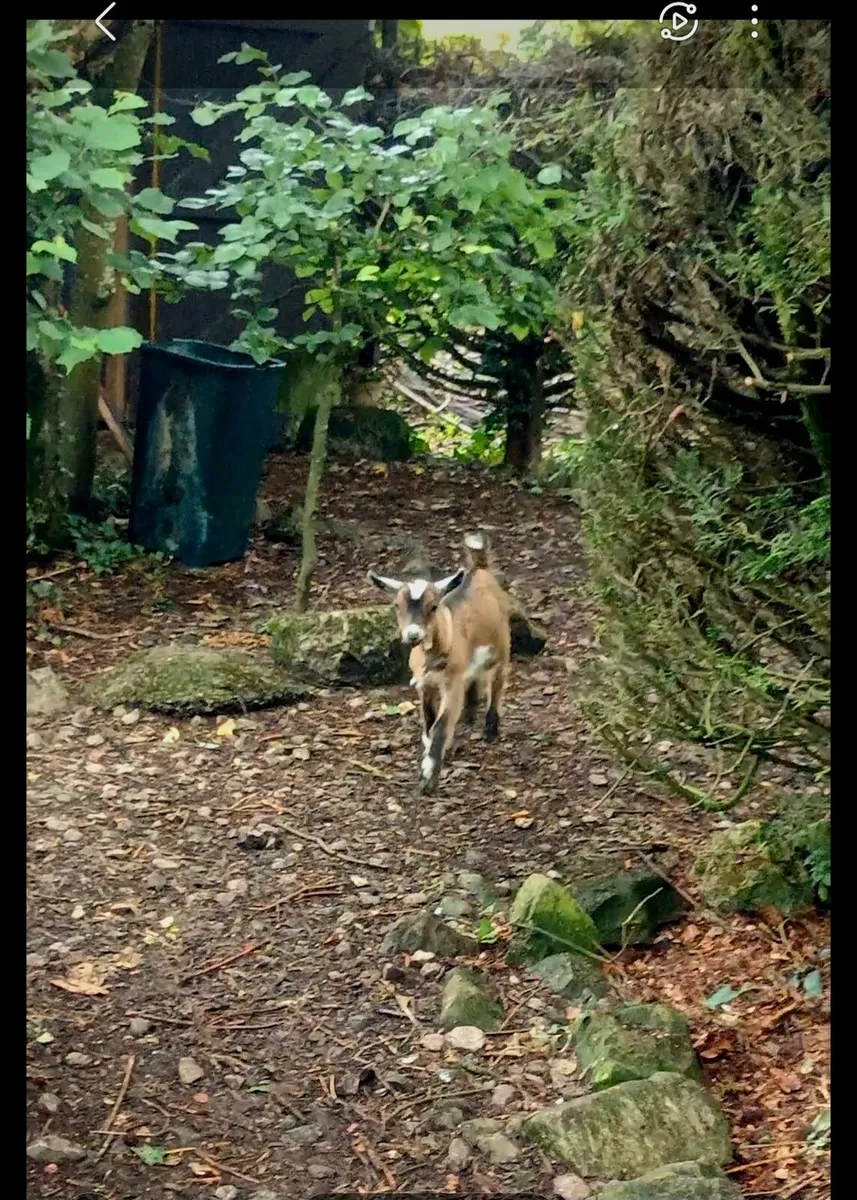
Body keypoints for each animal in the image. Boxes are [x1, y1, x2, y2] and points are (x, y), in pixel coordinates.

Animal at [367, 531, 511, 794]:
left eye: (433, 607)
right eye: (397, 606)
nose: (413, 635)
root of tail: (480, 567)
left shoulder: (450, 683)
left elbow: (441, 726)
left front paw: (428, 779)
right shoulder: (425, 684)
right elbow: (428, 722)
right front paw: (427, 759)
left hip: (502, 645)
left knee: (497, 681)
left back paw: (490, 730)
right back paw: (469, 714)